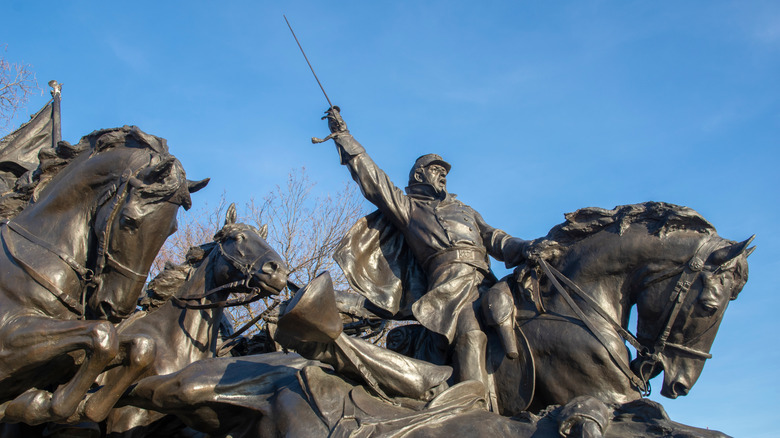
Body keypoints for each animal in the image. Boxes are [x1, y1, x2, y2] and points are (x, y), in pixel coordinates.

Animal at [0, 126, 207, 424]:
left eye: (171, 230)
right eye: (129, 220)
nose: (116, 308)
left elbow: (141, 347)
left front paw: (85, 405)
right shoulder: (9, 337)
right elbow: (102, 336)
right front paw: (47, 403)